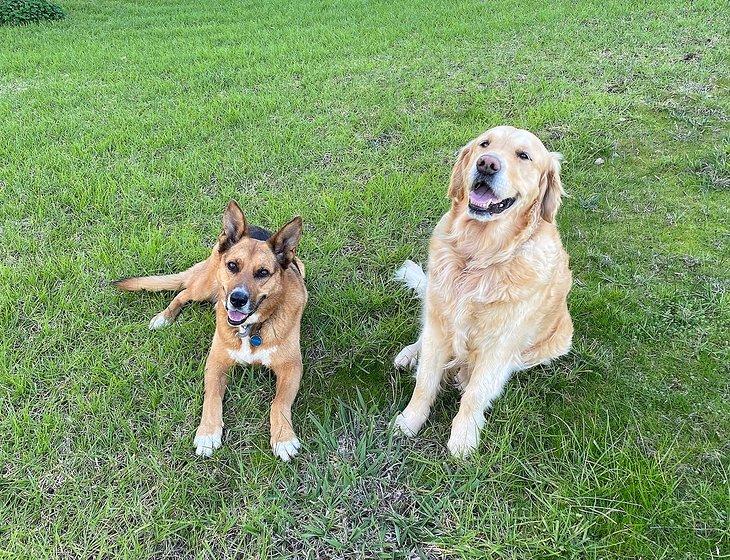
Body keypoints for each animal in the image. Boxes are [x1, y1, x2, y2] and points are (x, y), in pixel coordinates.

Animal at [112, 200, 306, 460]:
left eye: (263, 273)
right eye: (233, 265)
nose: (237, 300)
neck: (251, 329)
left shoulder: (292, 367)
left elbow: (279, 403)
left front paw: (284, 438)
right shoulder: (216, 362)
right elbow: (212, 398)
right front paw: (207, 433)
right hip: (205, 286)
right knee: (183, 293)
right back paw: (164, 317)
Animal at [390, 126, 572, 456]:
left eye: (523, 155)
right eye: (484, 144)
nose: (487, 164)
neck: (479, 256)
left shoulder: (499, 344)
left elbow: (476, 392)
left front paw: (463, 438)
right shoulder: (440, 322)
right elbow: (425, 380)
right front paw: (409, 422)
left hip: (560, 338)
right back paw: (410, 354)